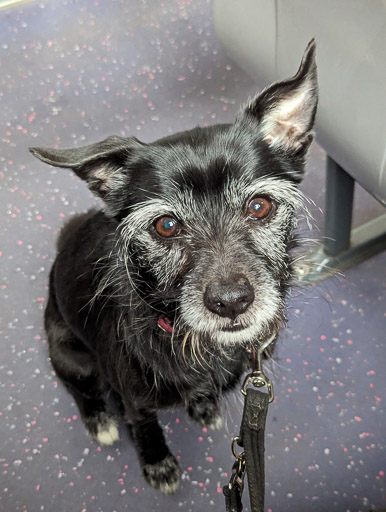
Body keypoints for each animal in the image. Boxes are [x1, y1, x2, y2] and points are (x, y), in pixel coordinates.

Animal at [30, 38, 318, 494]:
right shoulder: (136, 402)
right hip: (70, 355)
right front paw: (158, 464)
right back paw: (100, 420)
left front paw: (203, 405)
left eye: (260, 206)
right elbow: (146, 429)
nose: (231, 301)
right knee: (81, 389)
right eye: (166, 225)